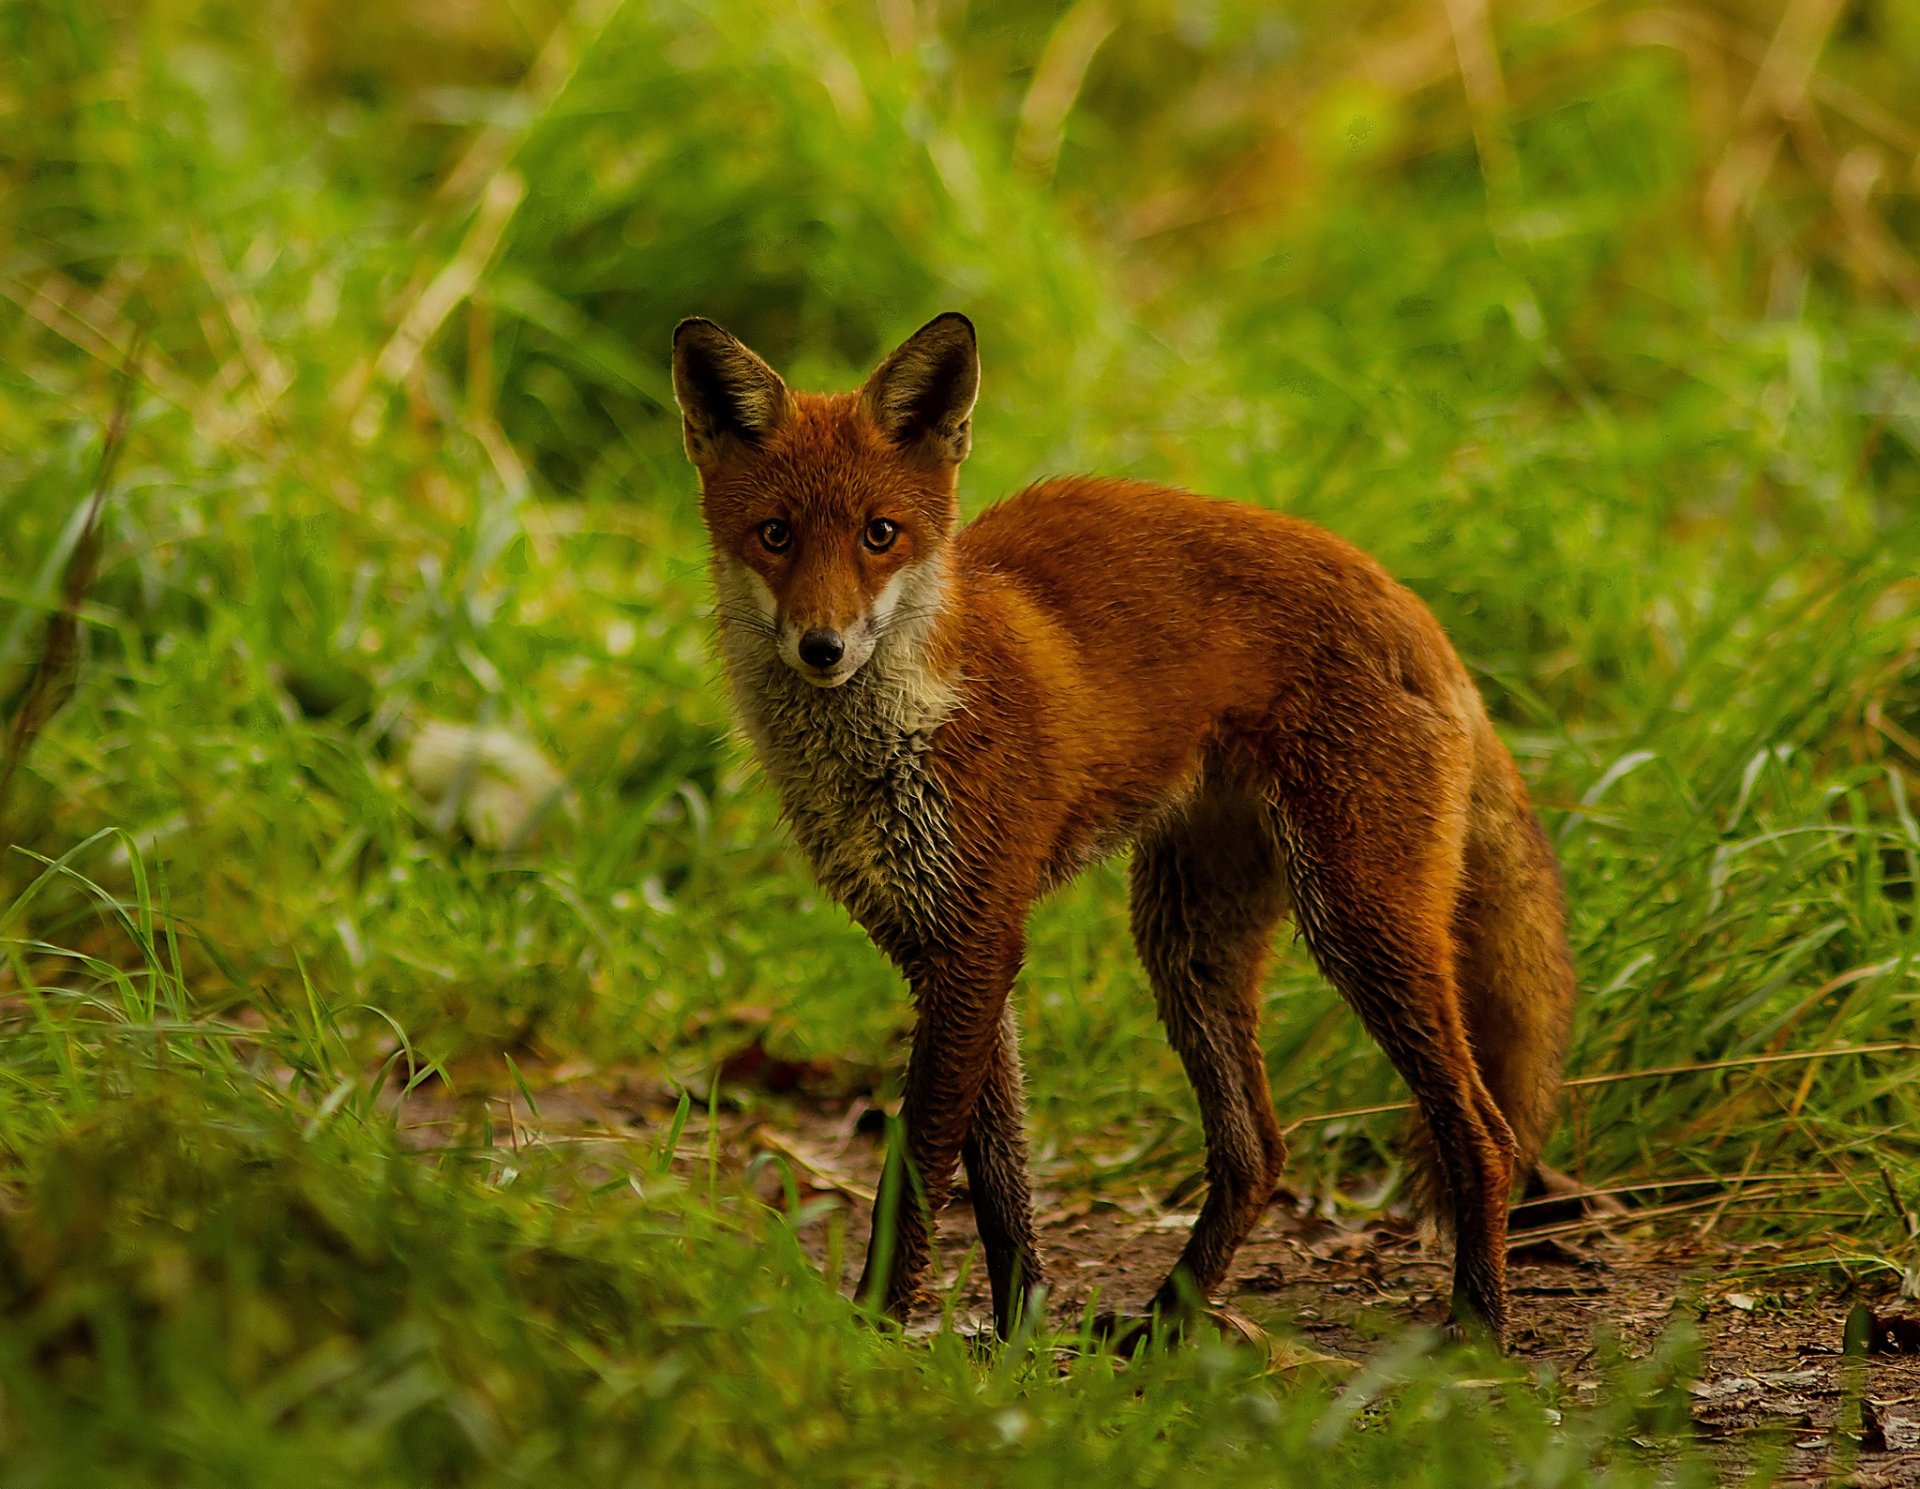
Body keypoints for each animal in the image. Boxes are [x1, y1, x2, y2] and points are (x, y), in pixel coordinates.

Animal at [671, 311, 1577, 1348]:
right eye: (775, 534)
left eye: (879, 535)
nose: (823, 647)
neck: (897, 733)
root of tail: (1409, 601)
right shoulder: (934, 939)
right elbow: (999, 1181)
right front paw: (1019, 1332)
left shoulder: (979, 931)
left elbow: (921, 1160)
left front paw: (877, 1325)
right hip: (1188, 940)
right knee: (1258, 1150)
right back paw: (1165, 1321)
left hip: (1358, 921)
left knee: (1484, 1133)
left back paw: (1477, 1326)